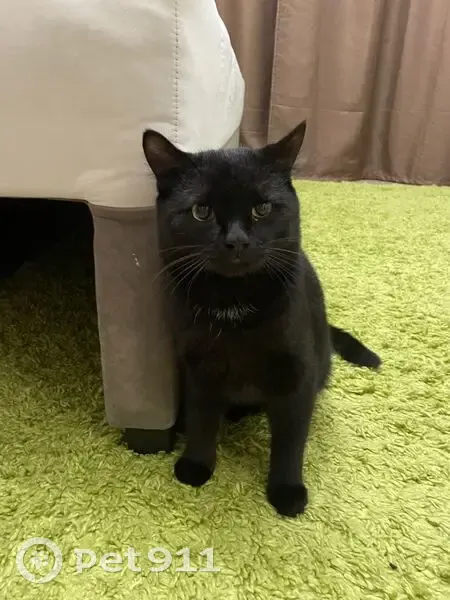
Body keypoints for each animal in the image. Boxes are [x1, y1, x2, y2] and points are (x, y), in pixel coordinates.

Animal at [142, 121, 381, 517]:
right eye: (202, 212)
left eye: (263, 208)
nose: (236, 241)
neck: (234, 306)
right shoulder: (199, 367)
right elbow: (202, 418)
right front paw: (196, 465)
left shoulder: (295, 376)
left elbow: (290, 440)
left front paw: (286, 491)